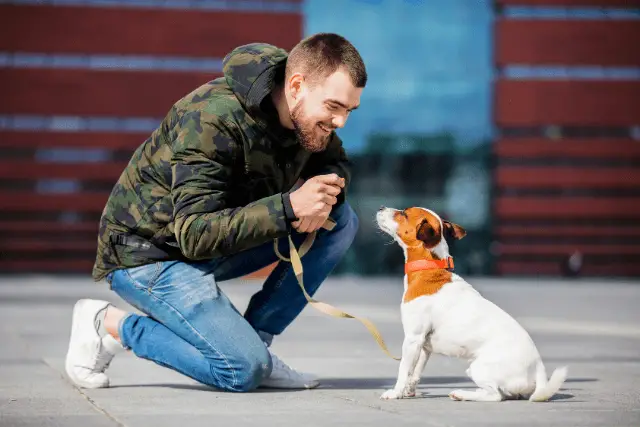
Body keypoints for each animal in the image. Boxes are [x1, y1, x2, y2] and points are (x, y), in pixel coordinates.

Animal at [378, 208, 568, 404]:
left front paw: (395, 392)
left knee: (495, 395)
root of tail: (538, 370)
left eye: (404, 214)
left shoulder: (413, 339)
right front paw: (408, 390)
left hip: (478, 368)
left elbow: (403, 370)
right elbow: (415, 373)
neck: (428, 269)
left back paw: (462, 394)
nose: (381, 208)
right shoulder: (423, 346)